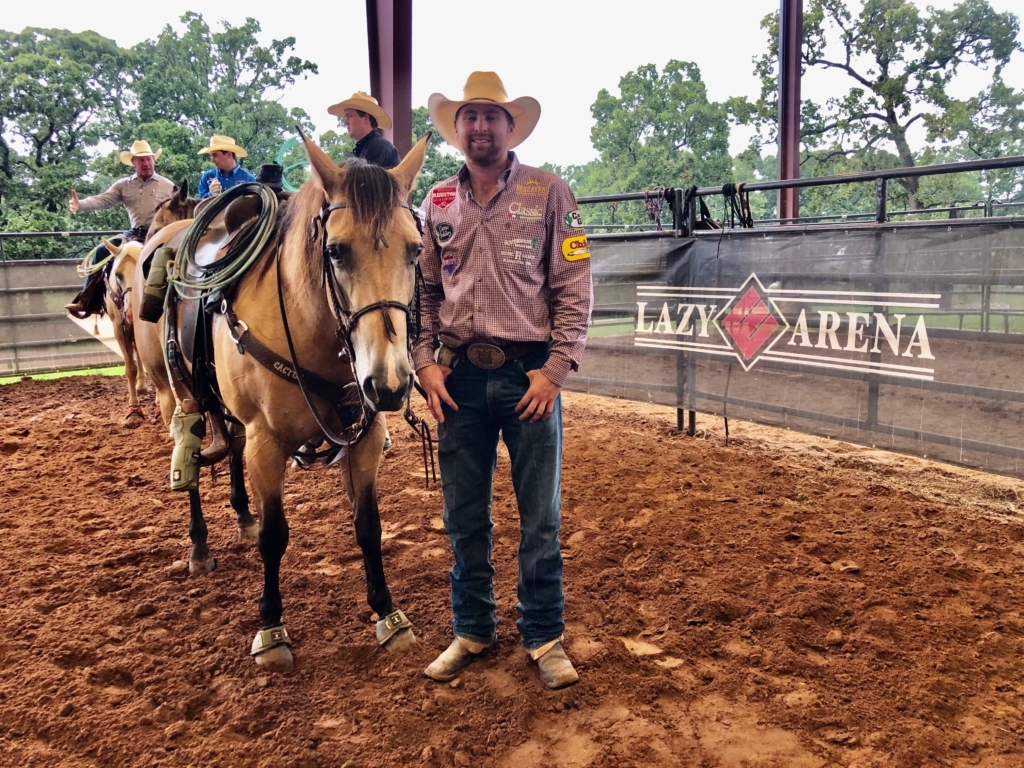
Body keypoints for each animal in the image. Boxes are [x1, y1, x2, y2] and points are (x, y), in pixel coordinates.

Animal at [132, 134, 428, 667]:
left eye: (415, 250)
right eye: (335, 251)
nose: (390, 384)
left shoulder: (367, 436)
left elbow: (368, 526)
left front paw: (388, 614)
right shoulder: (266, 444)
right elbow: (276, 537)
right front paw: (271, 629)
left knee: (228, 447)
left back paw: (242, 515)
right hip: (173, 397)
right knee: (191, 465)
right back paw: (200, 546)